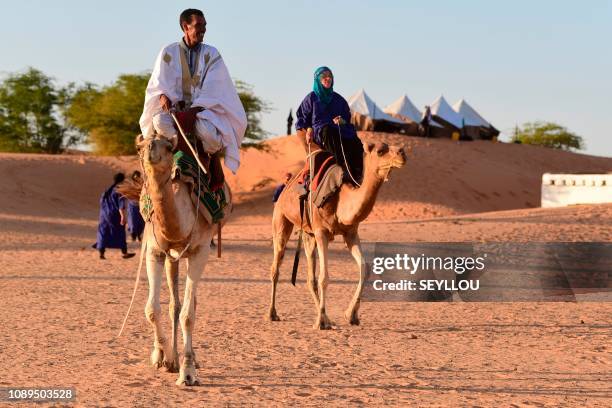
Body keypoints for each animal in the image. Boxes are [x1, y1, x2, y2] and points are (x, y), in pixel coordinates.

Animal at [268, 140, 406, 328]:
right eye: (380, 151)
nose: (402, 153)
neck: (341, 200)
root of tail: (287, 183)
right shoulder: (322, 232)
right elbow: (324, 277)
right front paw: (320, 322)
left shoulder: (350, 233)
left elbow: (365, 269)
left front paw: (351, 315)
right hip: (281, 218)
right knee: (276, 266)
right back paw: (273, 313)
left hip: (308, 234)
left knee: (310, 277)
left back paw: (326, 318)